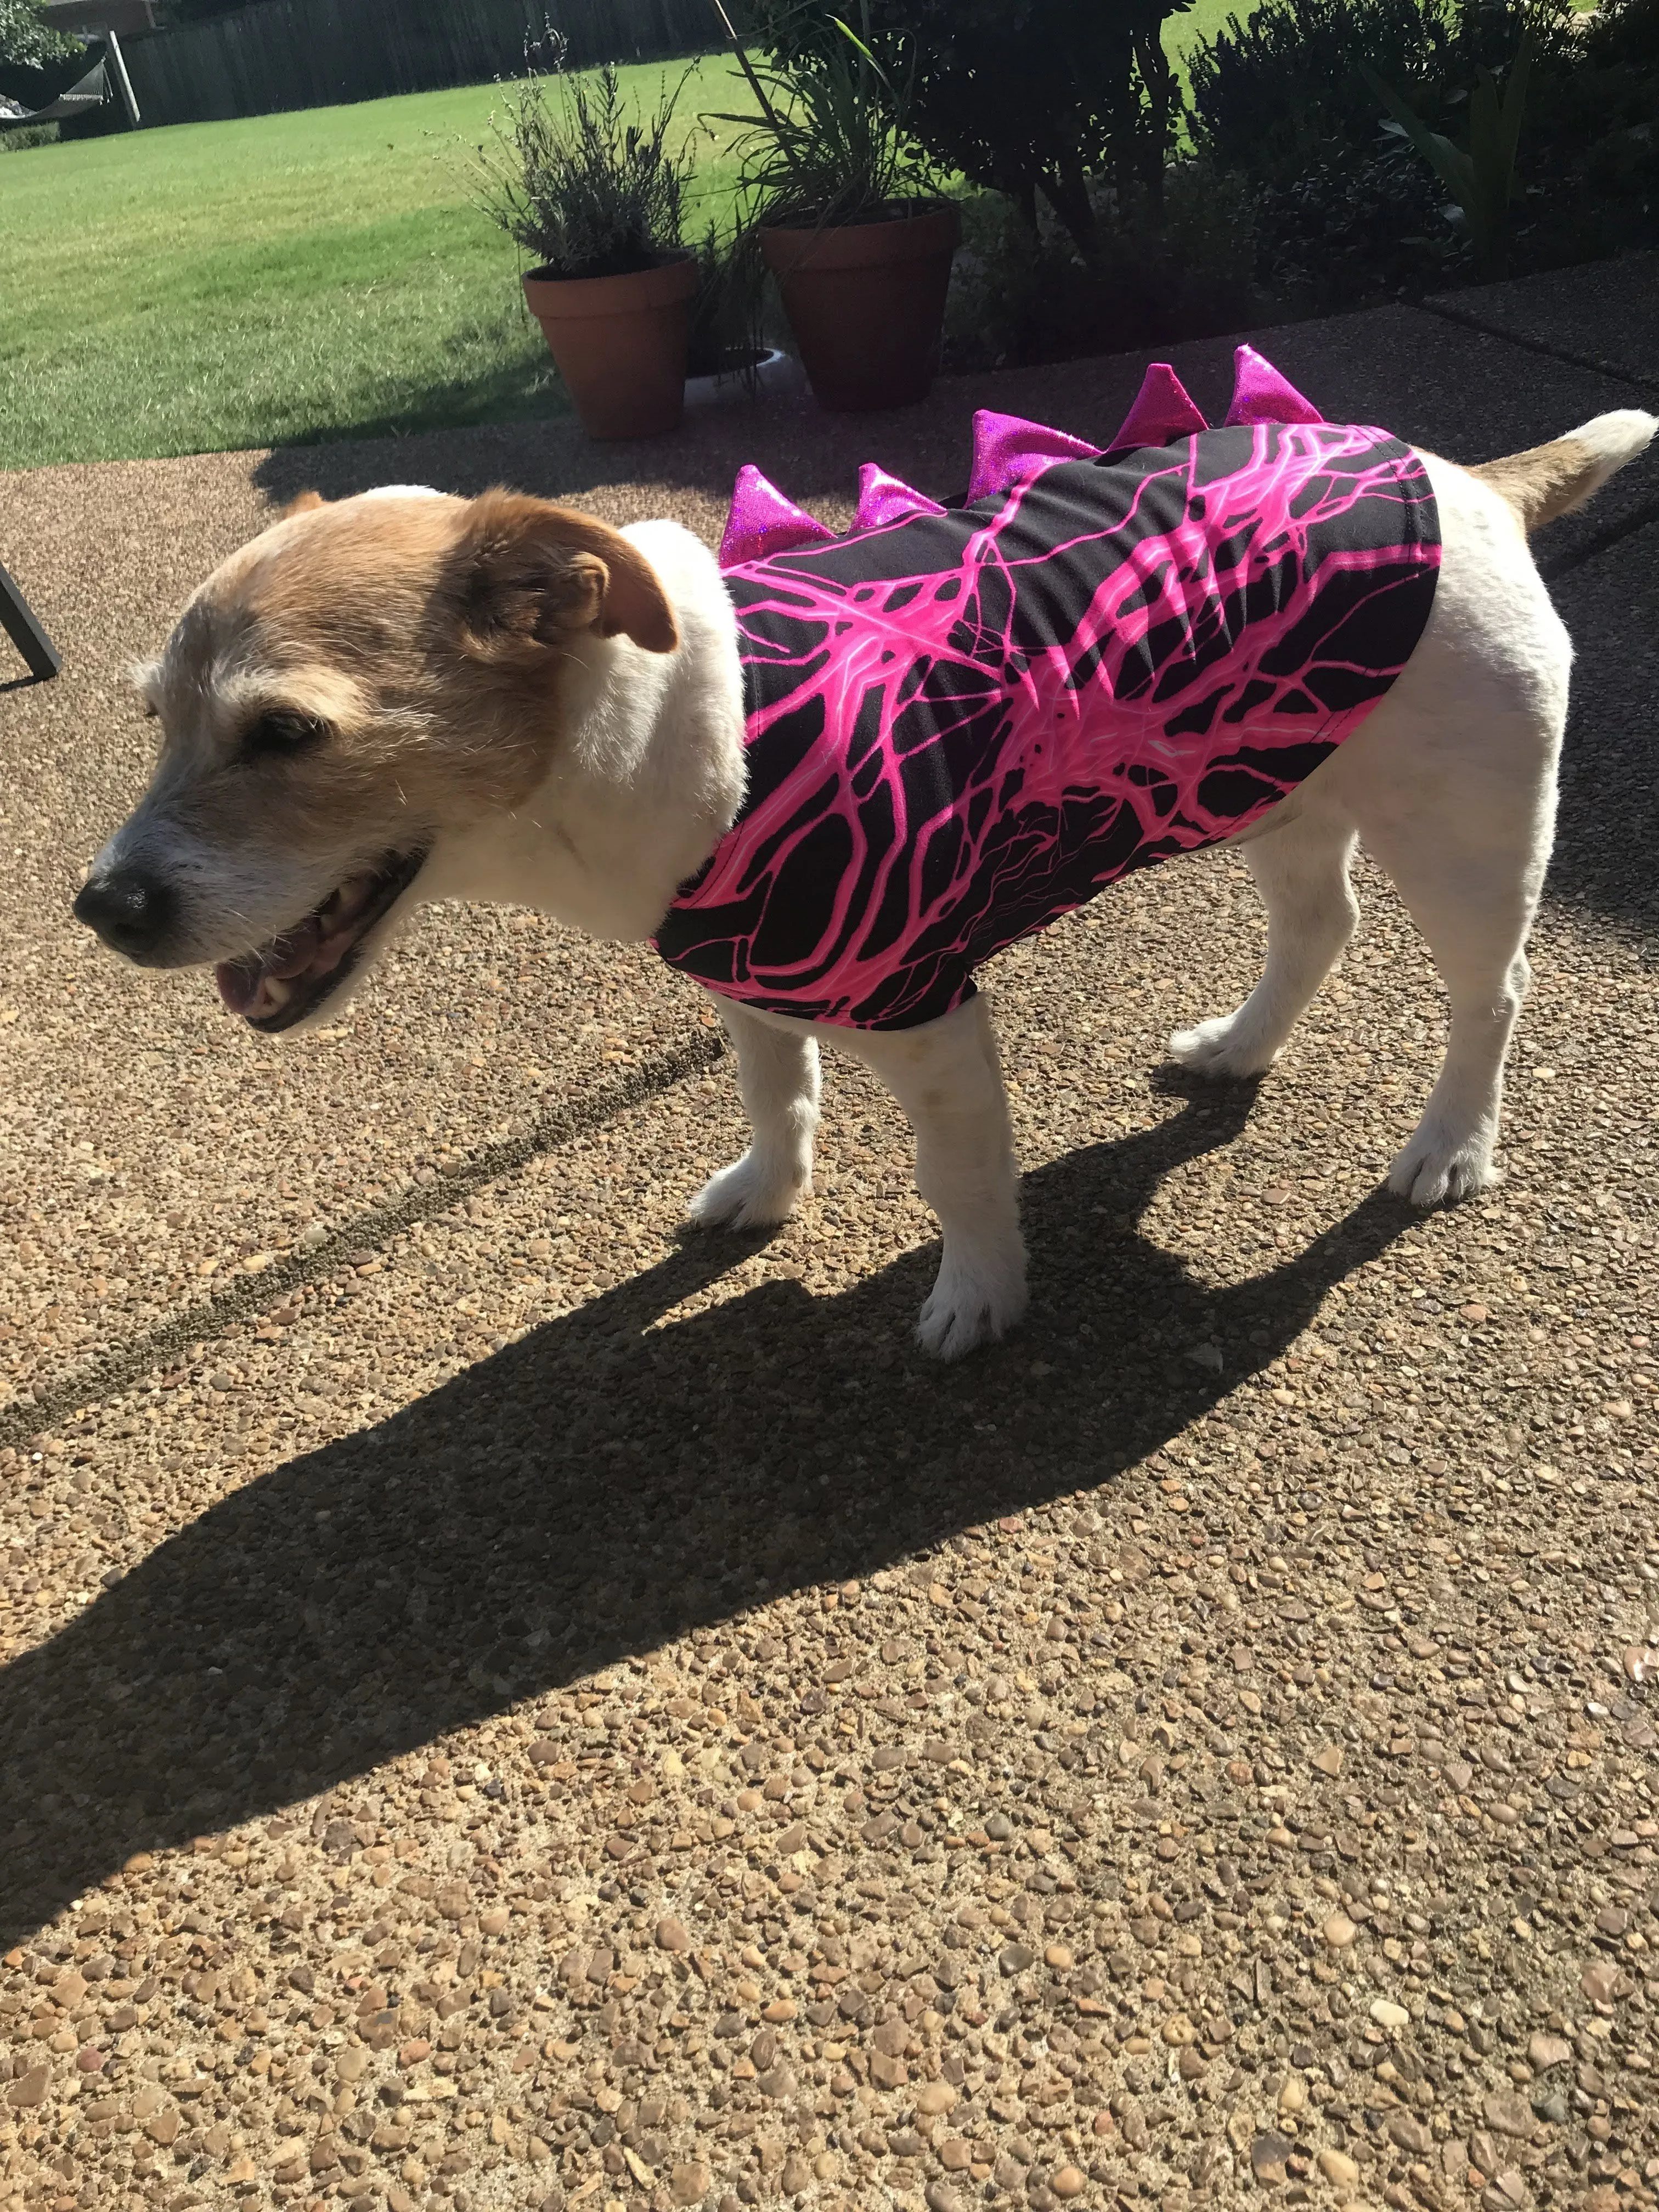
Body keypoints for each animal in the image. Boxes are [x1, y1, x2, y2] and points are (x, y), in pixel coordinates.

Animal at [81, 407, 1659, 1353]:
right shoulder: (746, 977)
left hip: (1469, 839)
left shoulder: (924, 1006)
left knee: (1491, 995)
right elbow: (777, 1093)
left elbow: (957, 1177)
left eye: (288, 733)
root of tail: (1467, 481)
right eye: (154, 714)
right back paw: (1240, 1046)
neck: (687, 733)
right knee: (1320, 924)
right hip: (1271, 776)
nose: (101, 909)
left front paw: (981, 1296)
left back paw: (1450, 1144)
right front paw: (769, 1191)